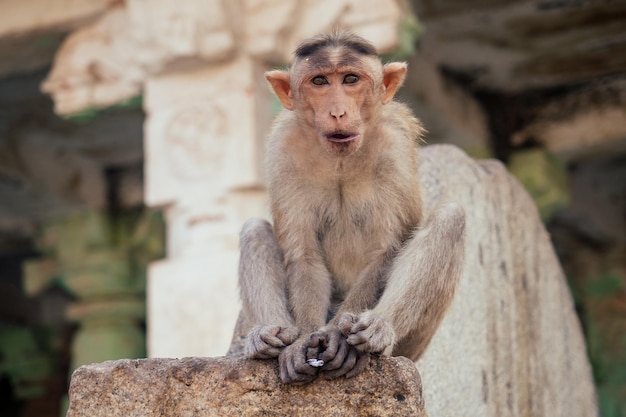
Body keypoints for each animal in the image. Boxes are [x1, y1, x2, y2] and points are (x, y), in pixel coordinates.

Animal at [227, 31, 466, 384]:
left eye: (351, 79)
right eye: (320, 81)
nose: (337, 112)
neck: (340, 159)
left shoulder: (393, 147)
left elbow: (384, 252)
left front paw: (339, 340)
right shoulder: (284, 149)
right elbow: (304, 255)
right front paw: (301, 341)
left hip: (414, 343)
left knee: (451, 218)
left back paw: (376, 330)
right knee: (254, 229)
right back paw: (268, 337)